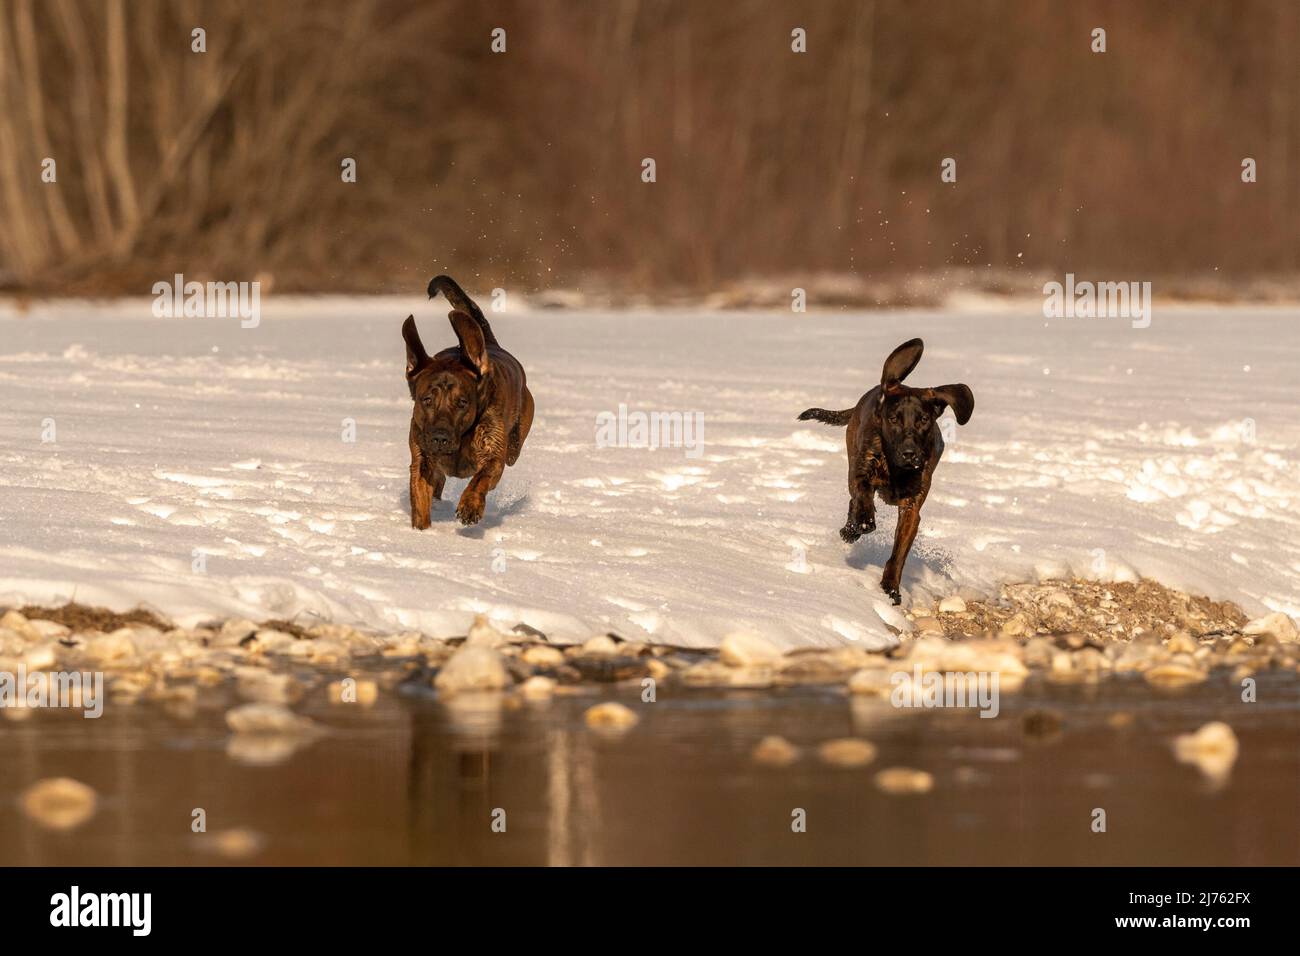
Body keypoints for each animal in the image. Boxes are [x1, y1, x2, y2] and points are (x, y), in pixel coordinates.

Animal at [400, 277, 533, 528]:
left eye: (462, 402)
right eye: (427, 400)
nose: (440, 438)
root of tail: (490, 344)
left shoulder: (493, 456)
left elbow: (480, 479)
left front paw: (470, 506)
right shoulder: (421, 460)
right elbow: (420, 499)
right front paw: (420, 531)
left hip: (515, 444)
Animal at [795, 340, 972, 600]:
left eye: (923, 419)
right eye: (894, 419)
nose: (909, 453)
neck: (896, 468)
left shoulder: (911, 509)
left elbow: (898, 554)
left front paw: (890, 587)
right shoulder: (862, 472)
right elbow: (863, 495)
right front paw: (863, 521)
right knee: (854, 500)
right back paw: (852, 529)